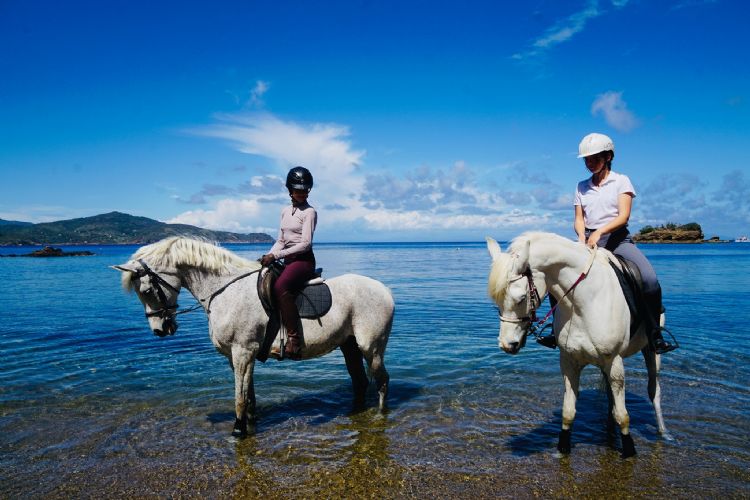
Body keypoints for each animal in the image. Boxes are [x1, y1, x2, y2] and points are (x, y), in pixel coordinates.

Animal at [114, 236, 396, 436]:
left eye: (147, 290)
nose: (160, 330)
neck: (225, 290)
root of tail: (385, 290)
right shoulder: (237, 356)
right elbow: (248, 394)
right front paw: (250, 422)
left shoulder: (242, 352)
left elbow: (239, 397)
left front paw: (238, 431)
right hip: (349, 345)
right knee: (360, 381)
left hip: (371, 347)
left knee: (382, 380)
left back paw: (379, 416)